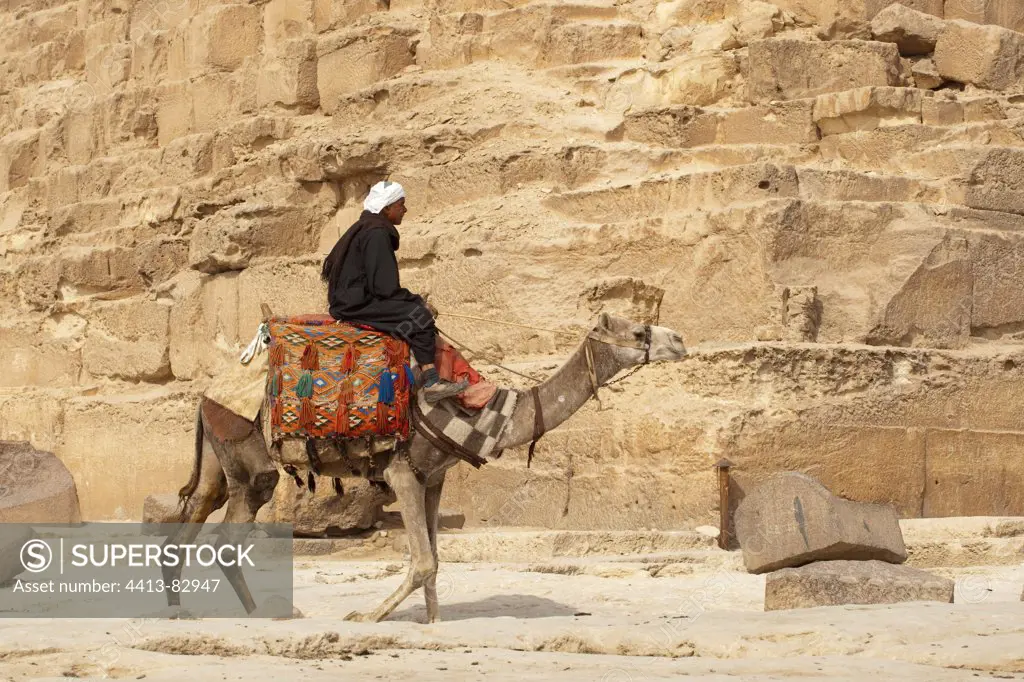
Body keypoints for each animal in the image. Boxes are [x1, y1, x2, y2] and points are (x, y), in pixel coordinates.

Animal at [161, 313, 688, 622]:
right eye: (638, 332)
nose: (680, 340)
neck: (482, 416)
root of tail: (211, 390)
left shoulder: (435, 477)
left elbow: (435, 561)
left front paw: (431, 623)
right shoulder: (402, 471)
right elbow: (424, 561)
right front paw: (368, 617)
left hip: (218, 456)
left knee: (192, 513)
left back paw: (181, 608)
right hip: (249, 457)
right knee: (229, 529)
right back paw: (266, 613)